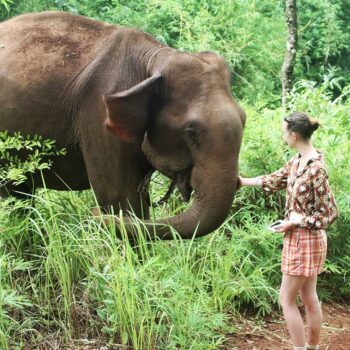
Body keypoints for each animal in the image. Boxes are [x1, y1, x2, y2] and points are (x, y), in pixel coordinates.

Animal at [0, 11, 246, 241]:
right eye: (190, 132)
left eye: (244, 120)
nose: (92, 216)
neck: (156, 56)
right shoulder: (98, 115)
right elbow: (119, 199)